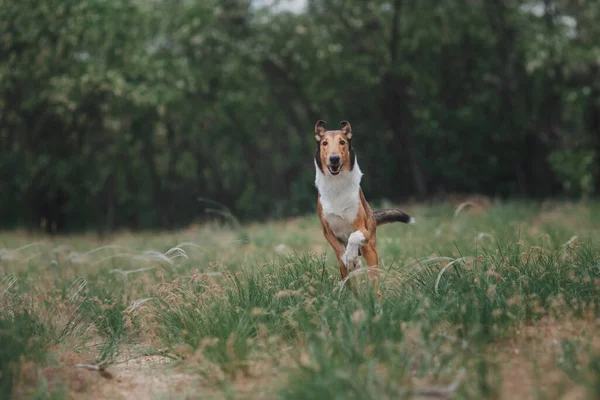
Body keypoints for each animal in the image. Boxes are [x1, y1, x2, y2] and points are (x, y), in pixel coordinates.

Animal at [314, 120, 412, 298]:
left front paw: (352, 256)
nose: (334, 159)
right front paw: (350, 259)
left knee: (375, 283)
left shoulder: (363, 230)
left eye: (342, 142)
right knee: (350, 281)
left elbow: (353, 237)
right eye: (324, 143)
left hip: (371, 250)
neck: (337, 185)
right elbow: (340, 252)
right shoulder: (328, 232)